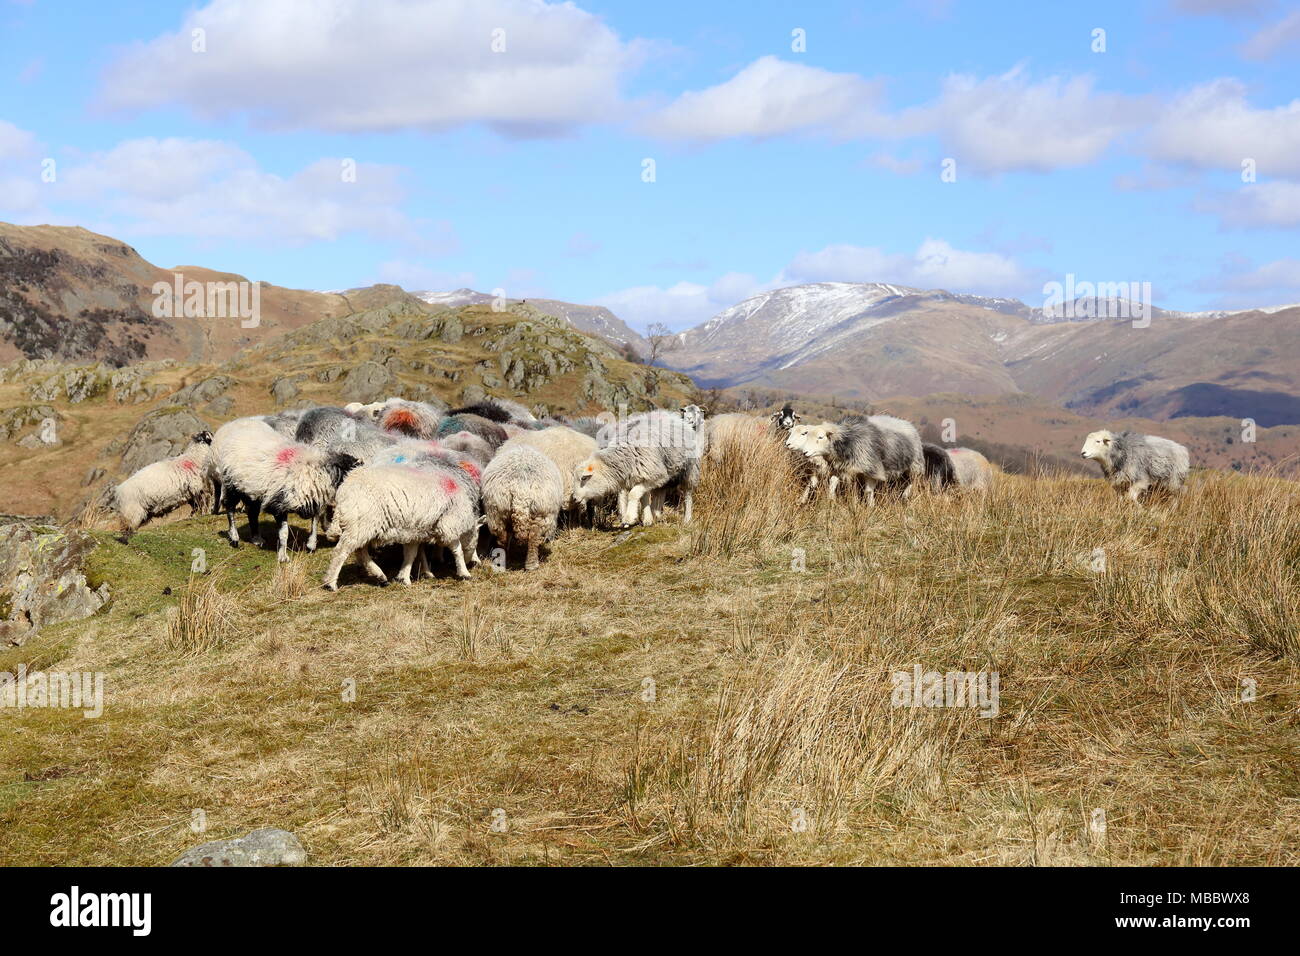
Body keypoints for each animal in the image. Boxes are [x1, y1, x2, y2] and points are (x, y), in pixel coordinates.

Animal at [322, 463, 486, 590]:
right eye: (477, 538)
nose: (474, 563)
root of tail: (343, 491)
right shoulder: (448, 525)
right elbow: (457, 550)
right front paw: (464, 573)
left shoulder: (414, 532)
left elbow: (411, 555)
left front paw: (404, 578)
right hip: (361, 524)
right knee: (341, 552)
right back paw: (331, 583)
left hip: (361, 526)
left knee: (360, 552)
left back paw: (380, 575)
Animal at [780, 418, 925, 509]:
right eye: (807, 434)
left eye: (820, 437)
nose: (787, 444)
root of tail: (907, 423)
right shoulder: (834, 469)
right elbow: (817, 484)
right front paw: (807, 500)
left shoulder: (871, 469)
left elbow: (868, 491)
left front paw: (870, 507)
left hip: (915, 465)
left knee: (913, 481)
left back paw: (905, 496)